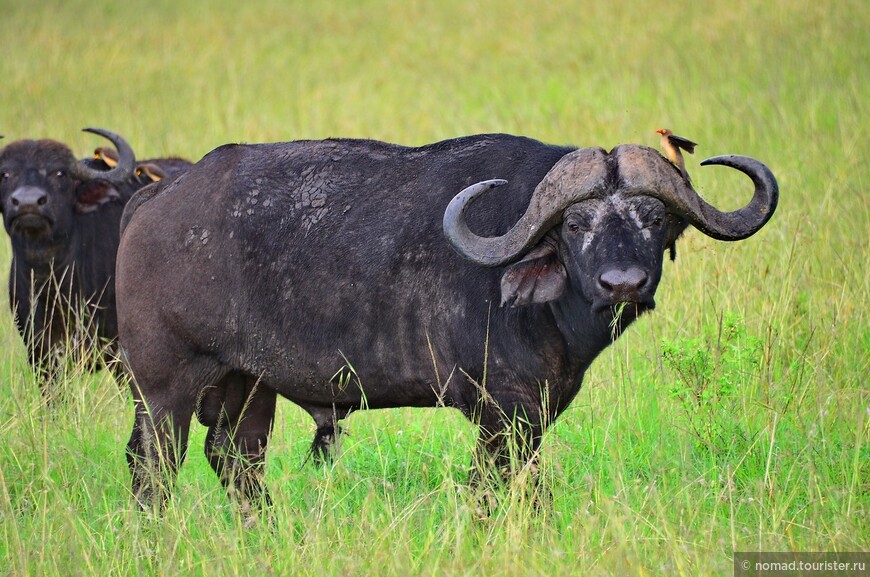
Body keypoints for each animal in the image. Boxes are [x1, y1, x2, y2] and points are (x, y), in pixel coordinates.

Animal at [114, 134, 776, 512]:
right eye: (574, 224)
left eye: (653, 219)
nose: (623, 284)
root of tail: (158, 197)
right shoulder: (501, 413)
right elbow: (503, 487)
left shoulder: (534, 413)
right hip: (163, 389)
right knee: (152, 467)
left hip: (248, 385)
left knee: (236, 459)